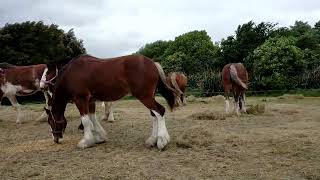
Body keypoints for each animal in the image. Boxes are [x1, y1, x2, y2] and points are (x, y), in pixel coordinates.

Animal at [43, 55, 181, 150]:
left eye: (51, 122)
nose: (55, 139)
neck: (71, 73)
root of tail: (153, 63)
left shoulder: (80, 99)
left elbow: (86, 120)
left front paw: (86, 141)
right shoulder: (90, 101)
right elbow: (92, 118)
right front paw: (100, 137)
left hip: (144, 96)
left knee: (159, 111)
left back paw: (161, 141)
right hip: (148, 97)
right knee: (154, 115)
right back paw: (152, 140)